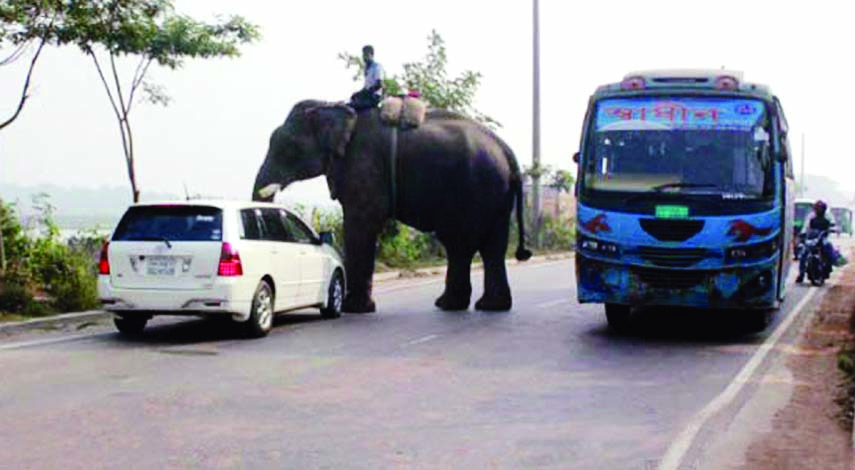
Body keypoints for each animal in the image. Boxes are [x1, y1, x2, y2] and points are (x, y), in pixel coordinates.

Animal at [254, 98, 532, 312]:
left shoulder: (363, 164)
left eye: (288, 148)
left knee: (461, 243)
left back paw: (457, 305)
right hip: (495, 195)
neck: (331, 105)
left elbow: (362, 223)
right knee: (489, 246)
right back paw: (482, 306)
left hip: (476, 190)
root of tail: (508, 153)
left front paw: (353, 309)